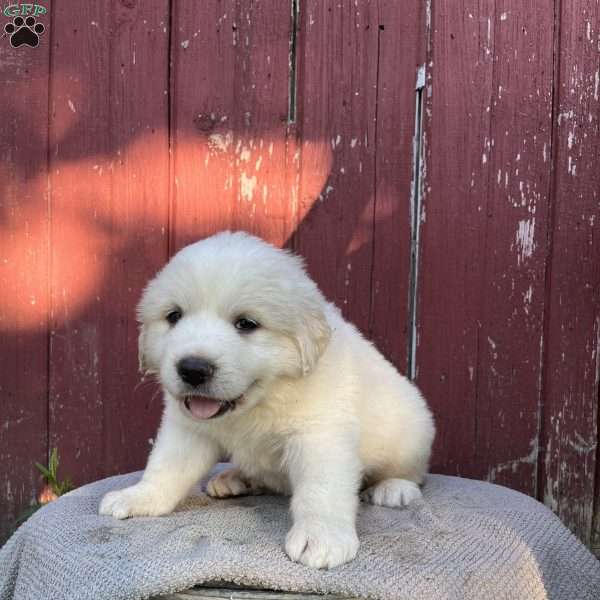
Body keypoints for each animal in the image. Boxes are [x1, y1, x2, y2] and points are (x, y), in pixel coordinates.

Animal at [99, 232, 436, 568]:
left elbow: (321, 488)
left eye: (246, 323)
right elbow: (165, 466)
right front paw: (139, 496)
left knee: (413, 472)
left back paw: (394, 488)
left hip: (411, 431)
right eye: (174, 316)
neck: (262, 399)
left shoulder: (320, 433)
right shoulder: (187, 429)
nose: (193, 369)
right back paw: (235, 478)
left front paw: (321, 537)